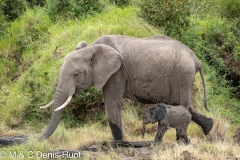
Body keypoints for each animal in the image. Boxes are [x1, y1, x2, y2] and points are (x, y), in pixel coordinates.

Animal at [39, 34, 214, 140]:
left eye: (76, 75)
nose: (34, 139)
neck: (91, 48)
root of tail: (195, 58)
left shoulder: (116, 73)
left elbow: (112, 106)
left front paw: (119, 145)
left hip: (182, 75)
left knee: (182, 105)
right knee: (180, 105)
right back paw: (208, 128)